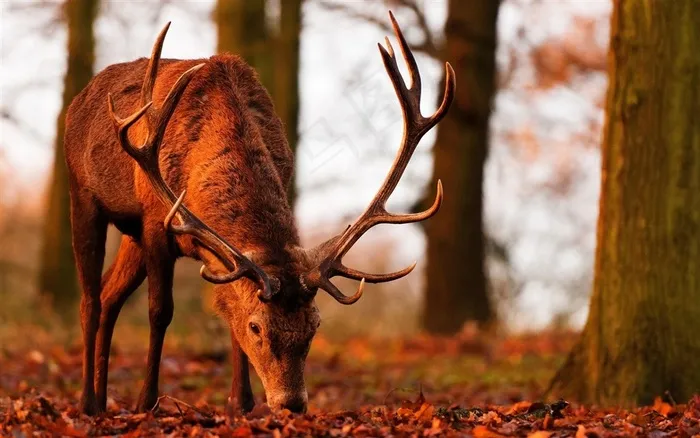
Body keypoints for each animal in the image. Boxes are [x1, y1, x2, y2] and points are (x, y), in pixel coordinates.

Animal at [64, 12, 455, 416]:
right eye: (257, 328)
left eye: (315, 326)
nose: (292, 403)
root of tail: (79, 98)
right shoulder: (157, 223)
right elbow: (160, 311)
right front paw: (146, 403)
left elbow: (228, 306)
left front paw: (241, 403)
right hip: (83, 194)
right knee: (90, 299)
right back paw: (88, 401)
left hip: (131, 234)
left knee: (110, 294)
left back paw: (102, 396)